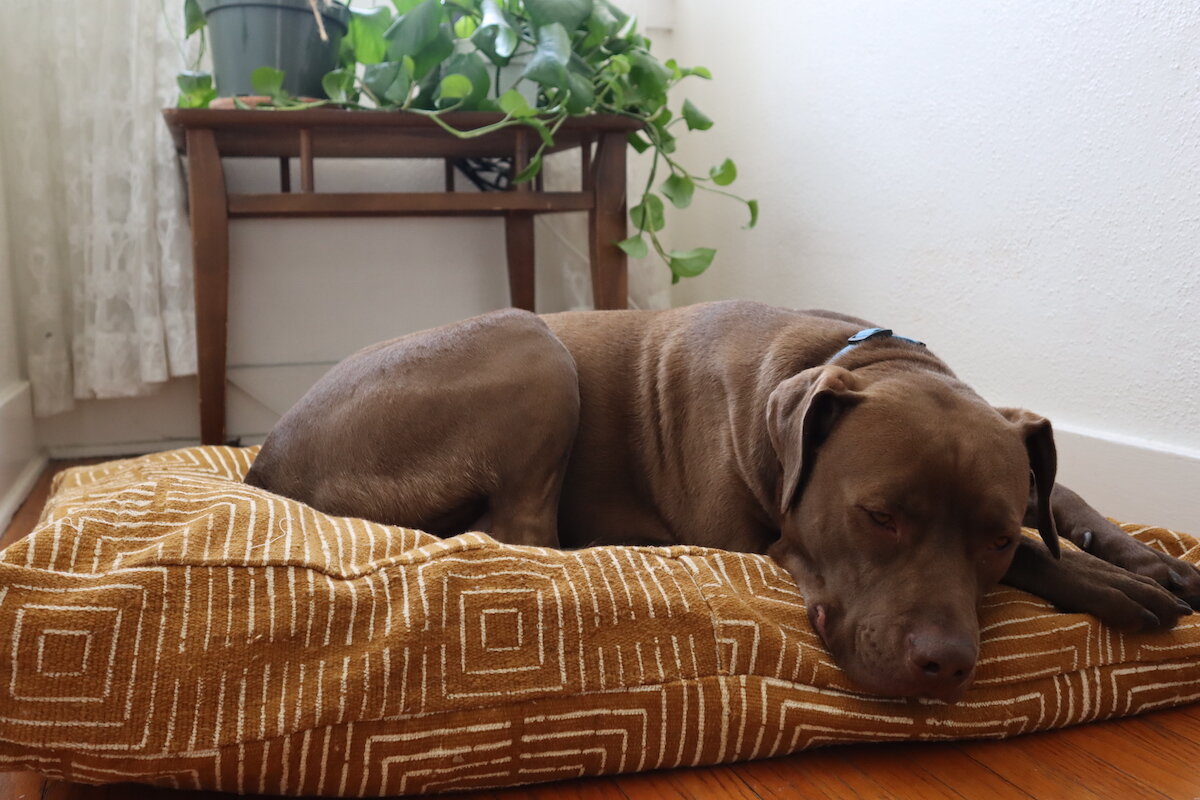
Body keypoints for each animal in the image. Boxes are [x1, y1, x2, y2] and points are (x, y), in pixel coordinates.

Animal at [246, 299, 1200, 700]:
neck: (852, 360)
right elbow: (1056, 546)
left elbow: (1062, 492)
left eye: (993, 539)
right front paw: (1114, 584)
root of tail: (263, 465)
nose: (945, 666)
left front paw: (1148, 556)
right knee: (520, 533)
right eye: (879, 516)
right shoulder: (766, 536)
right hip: (528, 343)